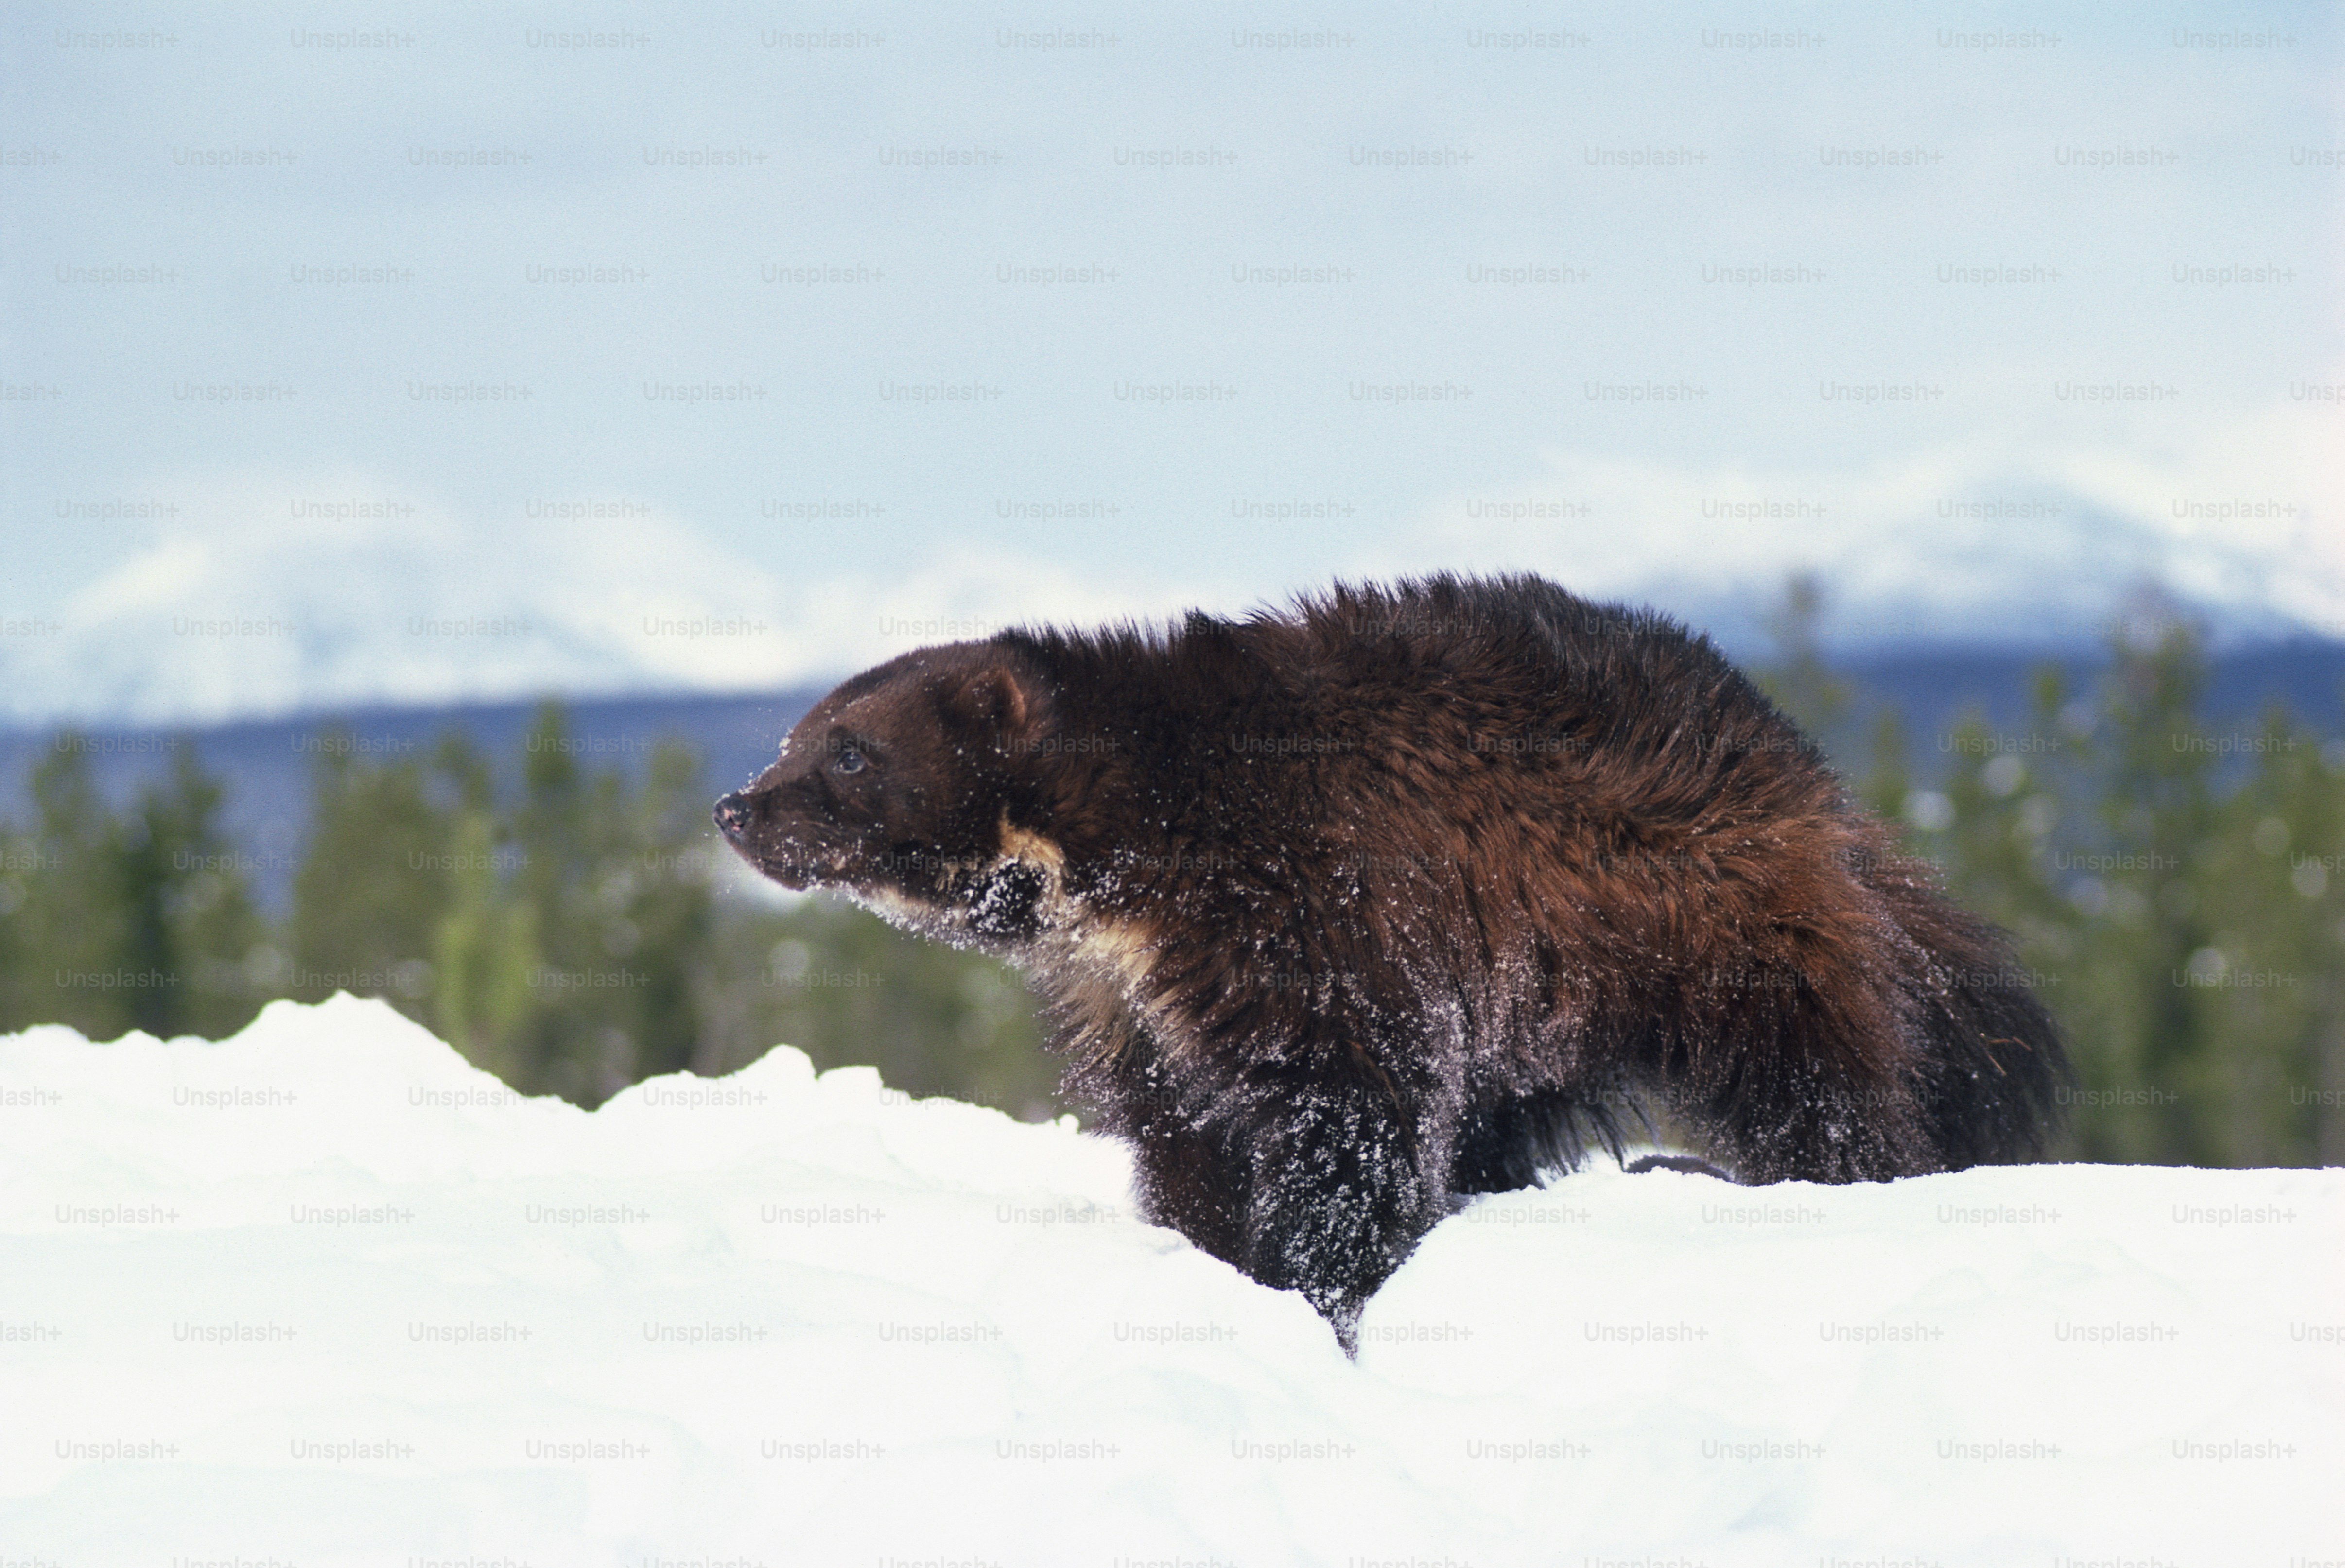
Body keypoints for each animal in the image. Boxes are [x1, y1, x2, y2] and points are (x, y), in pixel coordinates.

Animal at [714, 574, 2069, 1354]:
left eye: (847, 750)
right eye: (796, 732)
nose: (735, 807)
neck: (1133, 832)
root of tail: (1810, 771)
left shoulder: (1307, 906)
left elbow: (1350, 1112)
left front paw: (1329, 1296)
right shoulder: (1140, 1000)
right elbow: (1185, 1132)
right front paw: (1217, 1271)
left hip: (1711, 924)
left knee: (1818, 1077)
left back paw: (1813, 1174)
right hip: (1540, 985)